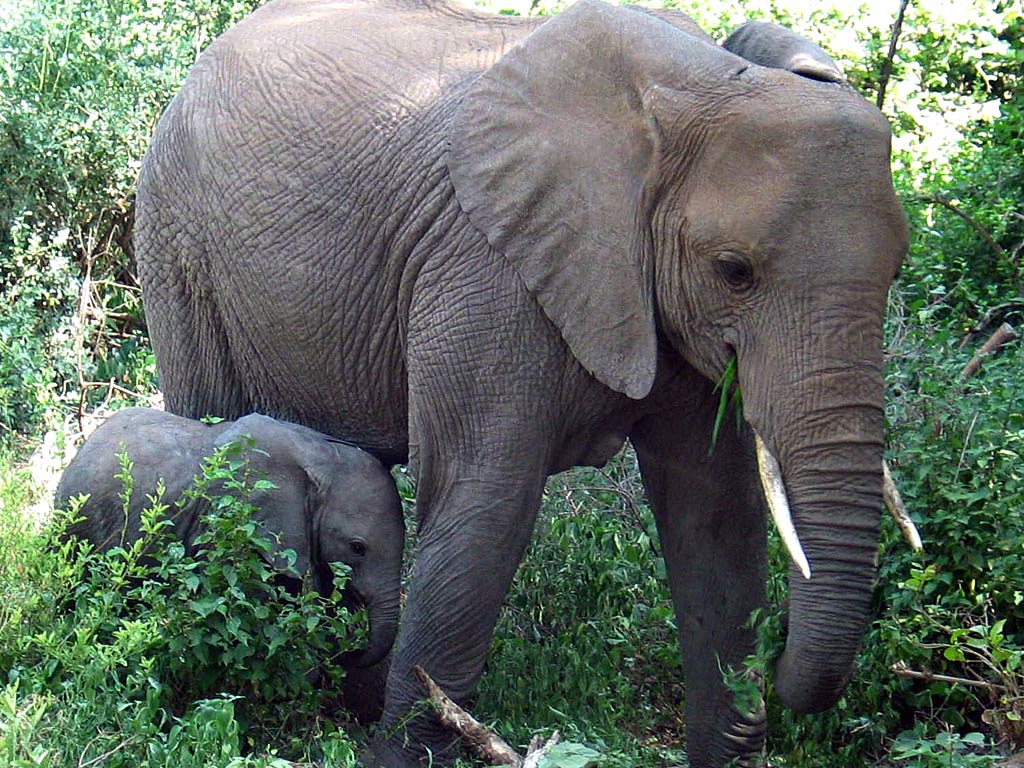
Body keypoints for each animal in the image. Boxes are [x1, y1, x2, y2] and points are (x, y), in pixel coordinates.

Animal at [133, 0, 909, 765]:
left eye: (898, 266)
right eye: (734, 270)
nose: (779, 670)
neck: (706, 80)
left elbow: (714, 511)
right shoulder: (489, 269)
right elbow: (488, 502)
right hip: (176, 243)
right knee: (213, 422)